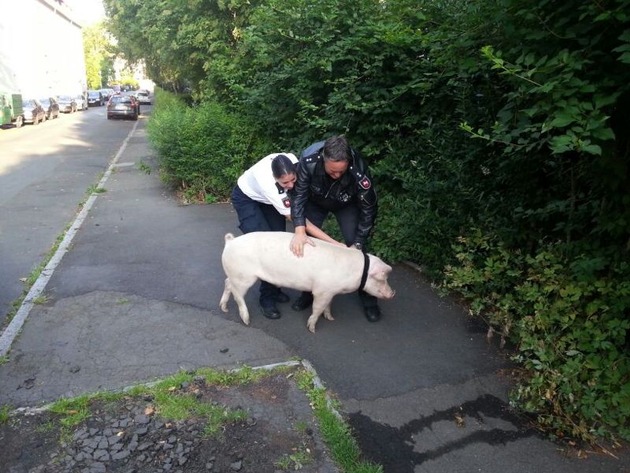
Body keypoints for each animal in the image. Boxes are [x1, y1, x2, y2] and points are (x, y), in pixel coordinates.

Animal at [218, 230, 396, 330]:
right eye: (382, 279)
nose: (392, 293)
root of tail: (230, 241)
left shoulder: (331, 291)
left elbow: (328, 306)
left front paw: (331, 319)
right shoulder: (322, 290)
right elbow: (317, 307)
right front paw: (312, 329)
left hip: (235, 275)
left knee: (227, 284)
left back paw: (223, 308)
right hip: (244, 276)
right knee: (238, 295)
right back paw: (246, 320)